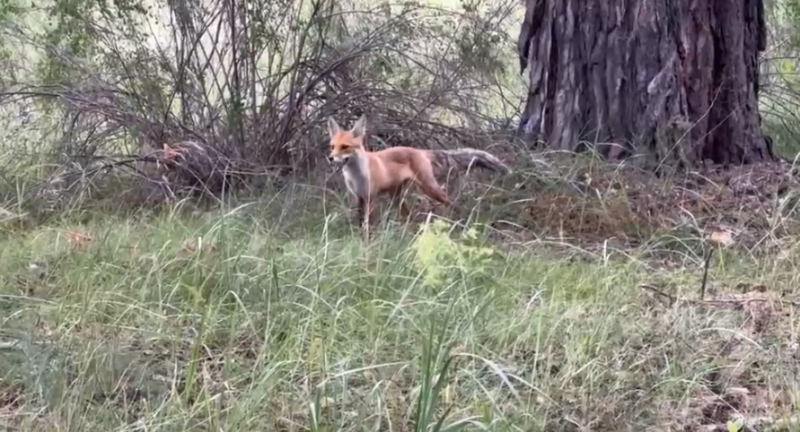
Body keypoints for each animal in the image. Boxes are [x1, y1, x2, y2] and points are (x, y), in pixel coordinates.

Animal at [326, 114, 510, 230]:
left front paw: (368, 243)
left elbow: (369, 226)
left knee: (450, 202)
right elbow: (360, 223)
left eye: (345, 147)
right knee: (410, 216)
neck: (355, 176)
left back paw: (456, 221)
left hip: (429, 188)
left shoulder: (371, 198)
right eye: (332, 146)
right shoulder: (359, 198)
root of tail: (419, 150)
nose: (330, 158)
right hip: (397, 198)